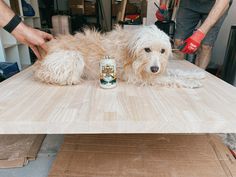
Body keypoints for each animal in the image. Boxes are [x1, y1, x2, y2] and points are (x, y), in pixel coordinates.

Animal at [34, 24, 172, 85]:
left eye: (162, 51)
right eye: (147, 49)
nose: (155, 69)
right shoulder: (135, 76)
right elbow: (166, 79)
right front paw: (176, 81)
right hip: (73, 56)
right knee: (49, 76)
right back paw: (72, 80)